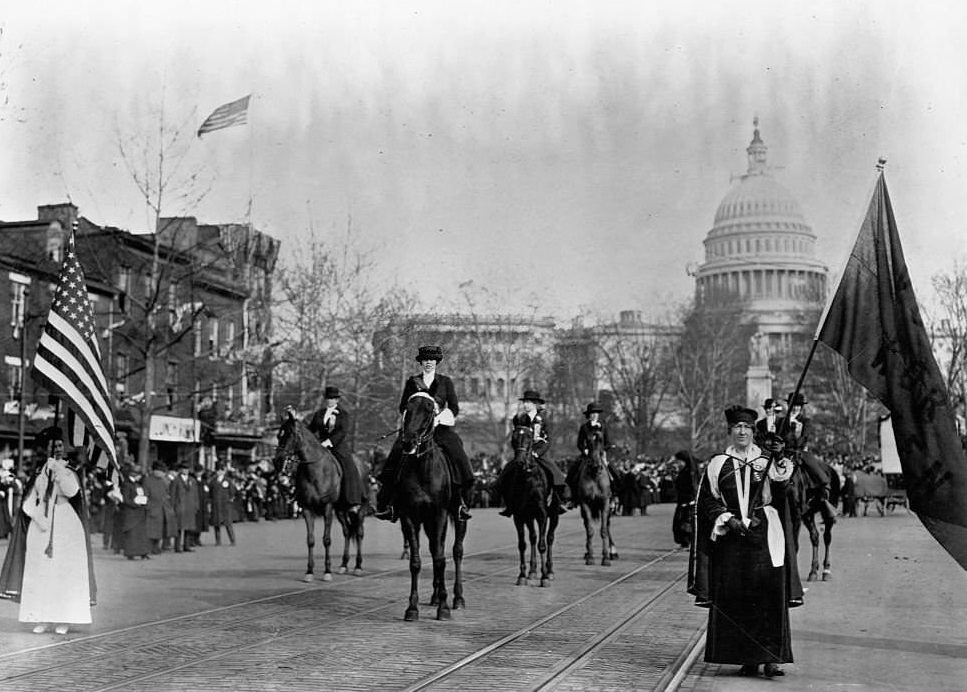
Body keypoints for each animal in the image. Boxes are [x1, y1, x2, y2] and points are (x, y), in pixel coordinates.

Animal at [274, 410, 364, 584]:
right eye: (278, 435)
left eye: (290, 434)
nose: (277, 461)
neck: (315, 470)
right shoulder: (307, 509)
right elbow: (310, 540)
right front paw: (309, 572)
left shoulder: (327, 507)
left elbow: (326, 539)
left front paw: (327, 572)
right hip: (340, 510)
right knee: (347, 532)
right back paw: (344, 565)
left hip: (359, 509)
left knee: (359, 533)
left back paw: (358, 566)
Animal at [396, 392, 466, 624]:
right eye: (407, 409)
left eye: (429, 410)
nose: (408, 441)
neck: (422, 469)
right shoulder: (410, 517)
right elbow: (416, 561)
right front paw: (412, 608)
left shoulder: (440, 515)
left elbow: (440, 559)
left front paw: (444, 607)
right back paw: (435, 596)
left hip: (458, 516)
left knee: (456, 551)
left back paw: (457, 598)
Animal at [506, 424, 560, 588]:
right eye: (513, 437)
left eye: (529, 437)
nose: (520, 461)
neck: (528, 478)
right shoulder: (520, 515)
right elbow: (522, 544)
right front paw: (522, 575)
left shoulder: (542, 514)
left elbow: (542, 545)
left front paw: (544, 577)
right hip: (530, 517)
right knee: (533, 538)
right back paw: (532, 571)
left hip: (553, 515)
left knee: (549, 538)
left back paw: (549, 571)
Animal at [572, 428, 616, 568]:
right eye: (588, 442)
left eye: (601, 441)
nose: (596, 466)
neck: (595, 476)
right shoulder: (585, 503)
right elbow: (590, 530)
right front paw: (590, 557)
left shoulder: (605, 502)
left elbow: (604, 530)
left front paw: (606, 558)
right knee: (587, 525)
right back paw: (587, 552)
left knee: (608, 525)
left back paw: (613, 552)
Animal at [792, 452, 844, 580]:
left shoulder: (796, 515)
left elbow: (794, 544)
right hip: (808, 515)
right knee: (815, 537)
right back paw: (813, 571)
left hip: (827, 512)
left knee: (827, 537)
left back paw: (826, 570)